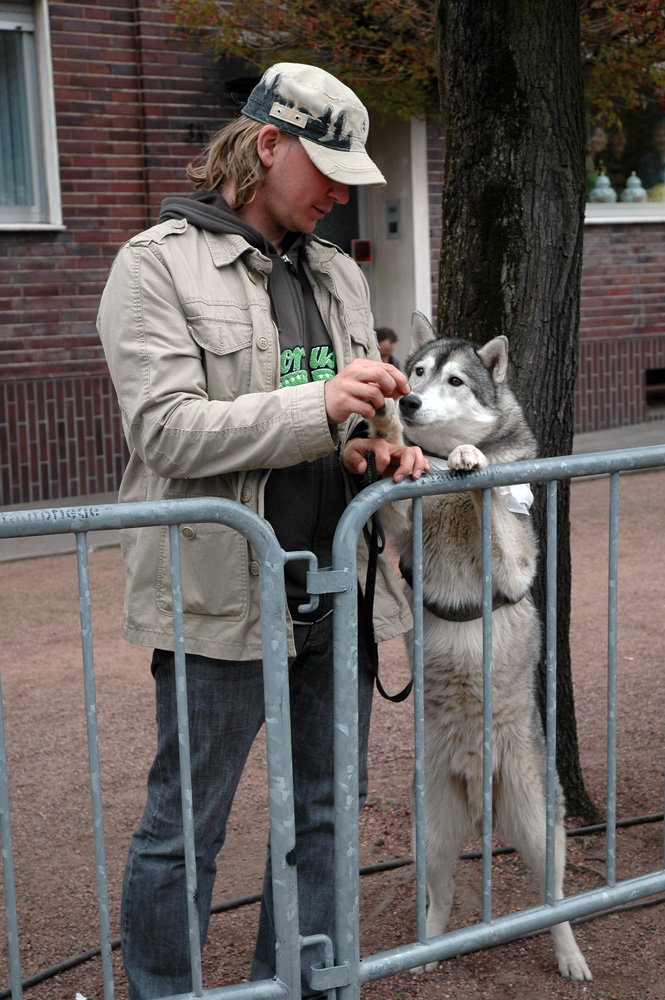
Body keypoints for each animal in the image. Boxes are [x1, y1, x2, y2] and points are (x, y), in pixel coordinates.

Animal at [368, 314, 592, 984]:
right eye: (415, 372)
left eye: (456, 380)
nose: (409, 401)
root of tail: (476, 789)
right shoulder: (401, 530)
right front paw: (383, 425)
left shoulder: (514, 555)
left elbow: (489, 495)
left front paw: (472, 458)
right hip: (430, 834)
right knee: (440, 896)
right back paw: (425, 950)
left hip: (542, 829)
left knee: (555, 901)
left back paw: (570, 955)